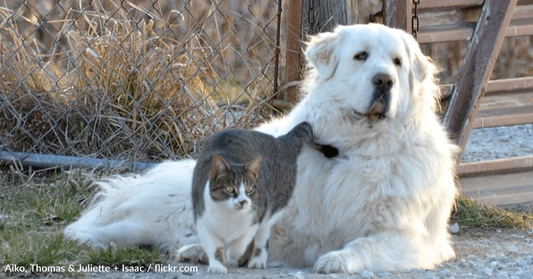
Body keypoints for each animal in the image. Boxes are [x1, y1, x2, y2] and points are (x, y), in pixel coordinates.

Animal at [186, 122, 312, 274]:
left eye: (249, 189)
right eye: (229, 189)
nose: (243, 201)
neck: (229, 215)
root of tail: (281, 141)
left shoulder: (256, 216)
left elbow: (242, 241)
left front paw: (231, 254)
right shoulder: (203, 222)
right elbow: (214, 247)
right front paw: (217, 266)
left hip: (274, 206)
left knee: (262, 238)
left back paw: (257, 261)